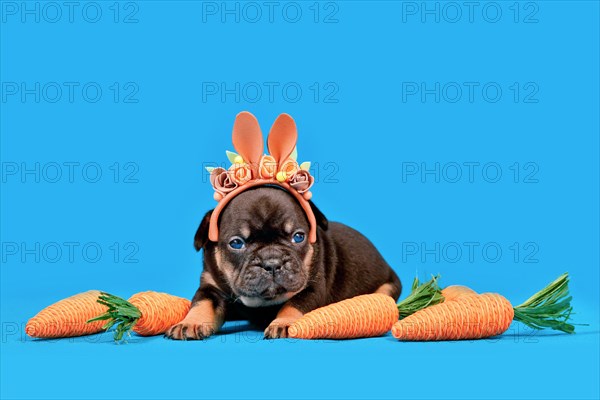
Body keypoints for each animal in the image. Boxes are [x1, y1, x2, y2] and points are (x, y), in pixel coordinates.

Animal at [164, 186, 400, 340]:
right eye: (236, 243)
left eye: (298, 237)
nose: (272, 262)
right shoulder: (210, 286)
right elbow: (202, 303)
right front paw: (190, 322)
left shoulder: (312, 287)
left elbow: (294, 304)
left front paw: (284, 323)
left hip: (387, 288)